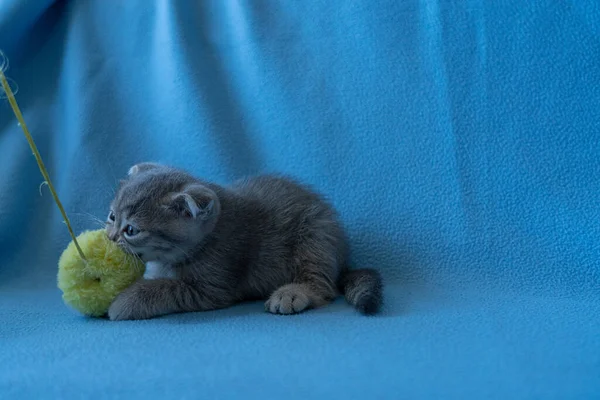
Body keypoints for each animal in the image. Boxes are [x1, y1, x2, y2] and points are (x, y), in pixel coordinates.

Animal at [105, 161, 382, 320]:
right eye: (112, 216)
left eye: (131, 230)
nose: (110, 237)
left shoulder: (212, 287)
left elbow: (164, 289)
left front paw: (124, 302)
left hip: (315, 236)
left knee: (323, 286)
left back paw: (292, 293)